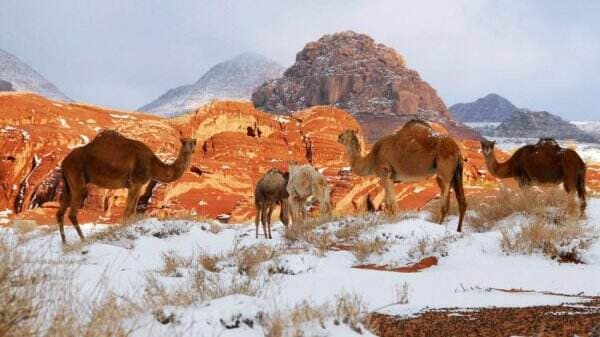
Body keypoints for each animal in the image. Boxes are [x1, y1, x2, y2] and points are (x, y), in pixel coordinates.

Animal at [56, 130, 197, 243]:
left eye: (194, 142)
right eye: (184, 142)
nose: (192, 146)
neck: (152, 165)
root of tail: (63, 163)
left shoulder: (137, 186)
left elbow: (132, 212)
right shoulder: (135, 182)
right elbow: (127, 212)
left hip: (68, 184)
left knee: (60, 213)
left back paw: (65, 244)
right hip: (77, 179)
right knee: (72, 213)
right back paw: (83, 240)